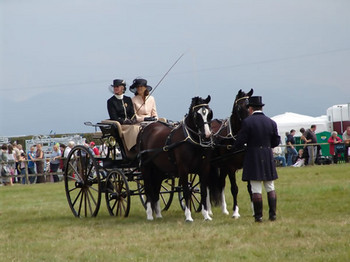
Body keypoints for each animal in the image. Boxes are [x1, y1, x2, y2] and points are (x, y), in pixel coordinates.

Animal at [209, 89, 253, 218]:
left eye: (250, 106)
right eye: (239, 107)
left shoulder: (246, 164)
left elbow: (250, 187)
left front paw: (254, 209)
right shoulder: (231, 167)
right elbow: (234, 189)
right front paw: (236, 212)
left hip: (221, 166)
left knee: (221, 184)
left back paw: (224, 210)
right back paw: (208, 210)